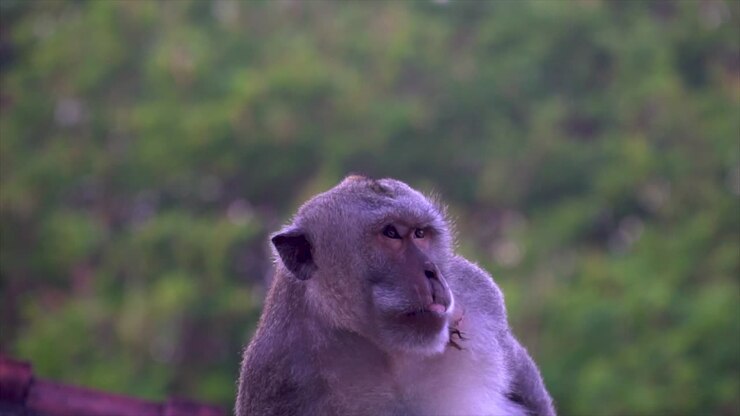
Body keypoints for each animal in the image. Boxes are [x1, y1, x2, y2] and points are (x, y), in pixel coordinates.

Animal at [236, 175, 555, 416]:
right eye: (390, 233)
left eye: (419, 233)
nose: (432, 272)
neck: (388, 350)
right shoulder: (277, 372)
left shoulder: (478, 293)